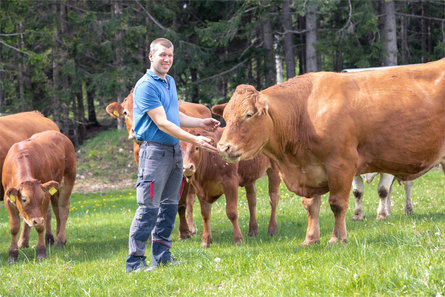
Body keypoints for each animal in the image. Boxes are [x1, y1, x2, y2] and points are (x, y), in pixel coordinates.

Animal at [2, 131, 76, 260]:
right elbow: (14, 227)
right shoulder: (7, 199)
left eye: (41, 198)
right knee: (56, 210)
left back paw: (60, 240)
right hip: (55, 189)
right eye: (24, 199)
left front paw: (41, 252)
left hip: (69, 176)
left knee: (63, 209)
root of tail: (60, 134)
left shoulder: (45, 197)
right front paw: (12, 254)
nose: (36, 220)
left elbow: (41, 225)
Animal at [214, 59, 444, 244]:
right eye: (225, 116)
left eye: (249, 114)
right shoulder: (309, 170)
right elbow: (311, 206)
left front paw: (337, 238)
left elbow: (338, 204)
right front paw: (310, 239)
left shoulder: (342, 165)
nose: (223, 147)